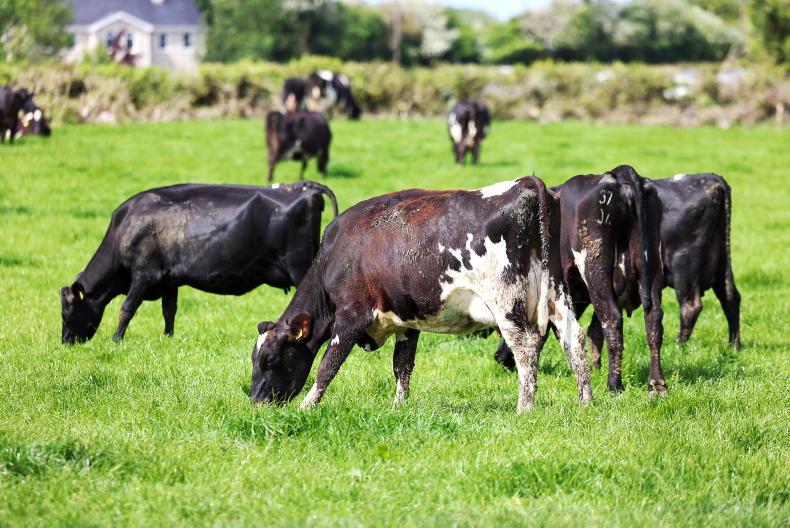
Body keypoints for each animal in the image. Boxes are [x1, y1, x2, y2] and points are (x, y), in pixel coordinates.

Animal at [60, 182, 339, 344]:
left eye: (67, 312)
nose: (66, 342)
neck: (125, 229)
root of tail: (304, 187)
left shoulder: (143, 274)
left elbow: (126, 308)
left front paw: (116, 340)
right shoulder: (168, 280)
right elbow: (169, 310)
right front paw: (168, 338)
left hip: (301, 266)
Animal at [249, 176, 592, 412]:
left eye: (270, 359)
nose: (255, 401)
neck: (335, 254)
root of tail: (524, 183)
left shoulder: (351, 315)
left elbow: (328, 365)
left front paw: (307, 405)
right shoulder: (405, 320)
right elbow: (402, 366)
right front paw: (398, 407)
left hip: (505, 301)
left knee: (526, 347)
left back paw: (524, 408)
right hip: (557, 294)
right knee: (574, 340)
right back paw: (585, 401)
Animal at [494, 165, 666, 394]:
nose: (499, 358)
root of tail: (616, 175)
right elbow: (593, 330)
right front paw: (595, 367)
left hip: (594, 267)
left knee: (612, 318)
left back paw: (614, 385)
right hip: (653, 267)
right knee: (653, 321)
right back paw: (657, 384)